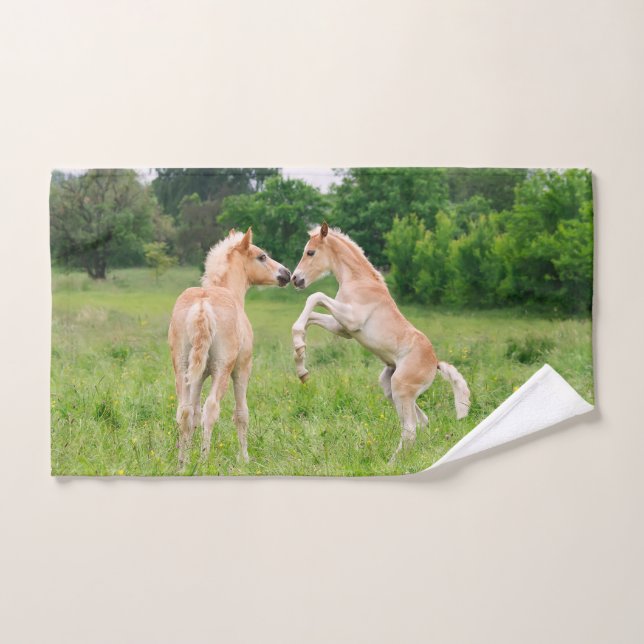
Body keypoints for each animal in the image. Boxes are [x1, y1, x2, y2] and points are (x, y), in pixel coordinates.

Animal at [168, 228, 291, 468]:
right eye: (262, 256)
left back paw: (182, 464)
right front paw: (245, 458)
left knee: (184, 411)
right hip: (222, 369)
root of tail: (202, 305)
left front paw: (189, 454)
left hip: (183, 367)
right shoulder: (242, 369)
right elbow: (241, 413)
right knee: (211, 408)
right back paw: (205, 460)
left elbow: (193, 413)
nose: (286, 274)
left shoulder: (198, 375)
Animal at [290, 222, 470, 462]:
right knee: (421, 421)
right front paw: (301, 362)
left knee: (410, 429)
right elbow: (310, 316)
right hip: (391, 387)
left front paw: (299, 350)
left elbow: (315, 297)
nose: (295, 279)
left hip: (401, 388)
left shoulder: (351, 319)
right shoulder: (343, 328)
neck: (359, 281)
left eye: (310, 252)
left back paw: (392, 463)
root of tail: (435, 363)